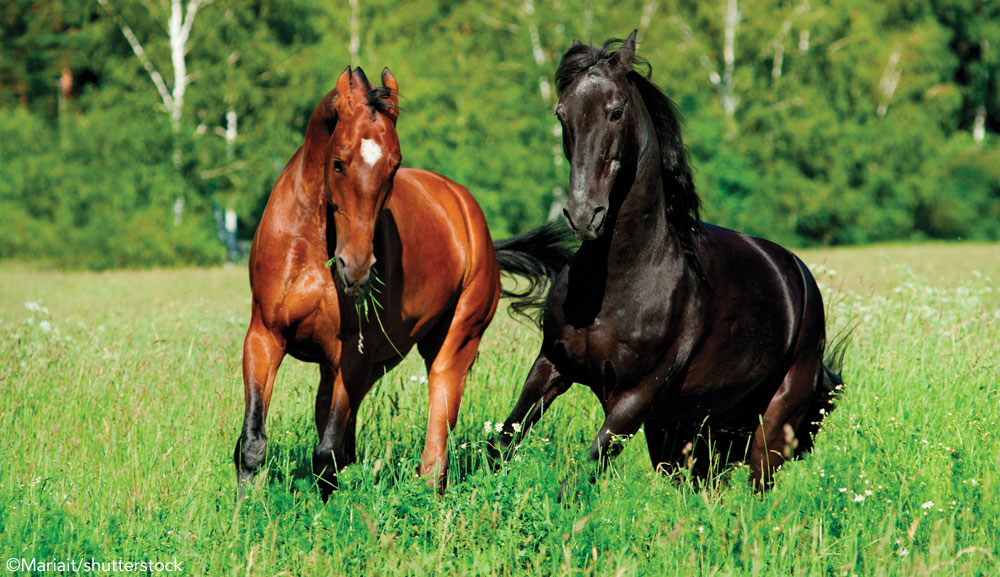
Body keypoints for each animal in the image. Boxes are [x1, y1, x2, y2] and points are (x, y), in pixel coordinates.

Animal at [229, 66, 568, 496]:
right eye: (337, 162)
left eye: (394, 167)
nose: (356, 268)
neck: (311, 244)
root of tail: (467, 211)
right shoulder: (265, 337)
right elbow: (254, 443)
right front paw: (245, 507)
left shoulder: (353, 355)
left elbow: (327, 454)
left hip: (453, 345)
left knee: (437, 433)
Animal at [492, 31, 844, 488]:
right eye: (561, 113)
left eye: (616, 111)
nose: (584, 214)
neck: (618, 281)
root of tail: (800, 277)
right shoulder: (551, 363)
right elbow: (502, 440)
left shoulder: (634, 398)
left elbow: (584, 471)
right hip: (690, 427)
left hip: (773, 421)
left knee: (758, 482)